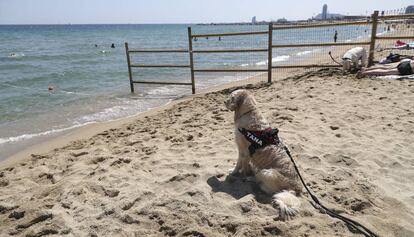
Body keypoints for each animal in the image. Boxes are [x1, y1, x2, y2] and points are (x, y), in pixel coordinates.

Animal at [225, 89, 302, 220]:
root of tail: (295, 189)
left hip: (266, 172)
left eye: (231, 97)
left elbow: (239, 164)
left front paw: (234, 172)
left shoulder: (242, 150)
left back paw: (251, 178)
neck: (249, 112)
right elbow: (244, 164)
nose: (224, 102)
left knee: (262, 184)